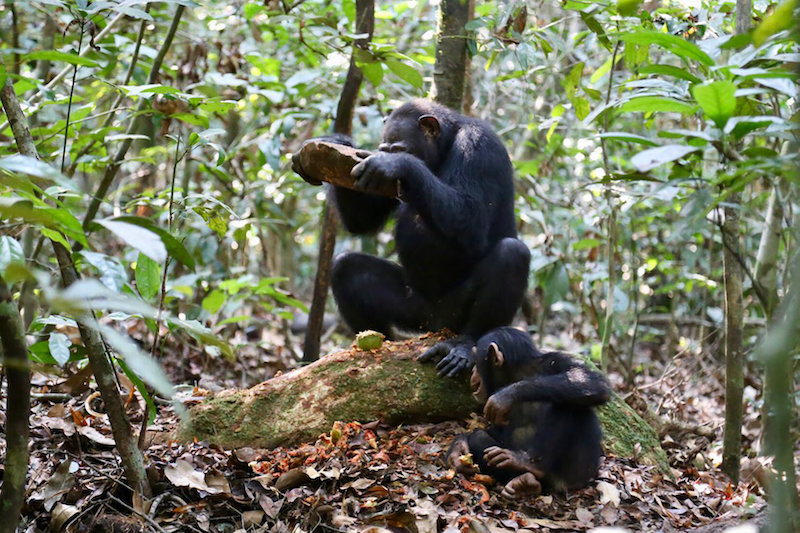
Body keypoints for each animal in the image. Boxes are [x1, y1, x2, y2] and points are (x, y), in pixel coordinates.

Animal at [294, 98, 532, 374]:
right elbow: (361, 219)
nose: (388, 156)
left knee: (512, 254)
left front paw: (398, 164)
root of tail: (437, 325)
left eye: (398, 149)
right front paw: (336, 142)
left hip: (454, 315)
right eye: (384, 148)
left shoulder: (479, 147)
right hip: (415, 313)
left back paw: (464, 346)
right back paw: (378, 345)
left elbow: (472, 218)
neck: (445, 145)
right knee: (346, 266)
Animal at [446, 326, 608, 496]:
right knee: (479, 437)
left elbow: (590, 380)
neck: (518, 374)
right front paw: (457, 452)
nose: (473, 372)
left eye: (477, 361)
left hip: (575, 474)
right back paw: (524, 481)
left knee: (569, 404)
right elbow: (491, 432)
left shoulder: (558, 360)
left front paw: (506, 395)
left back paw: (530, 465)